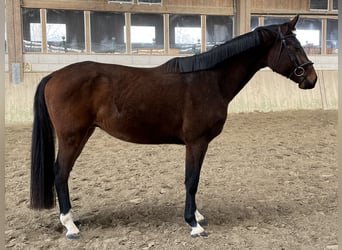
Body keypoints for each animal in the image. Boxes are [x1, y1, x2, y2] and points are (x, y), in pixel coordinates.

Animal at [30, 15, 318, 238]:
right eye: (293, 46)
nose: (312, 78)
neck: (210, 79)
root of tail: (54, 75)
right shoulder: (196, 142)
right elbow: (192, 179)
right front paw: (194, 224)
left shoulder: (198, 144)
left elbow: (194, 179)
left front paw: (198, 216)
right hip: (72, 137)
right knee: (60, 173)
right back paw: (70, 226)